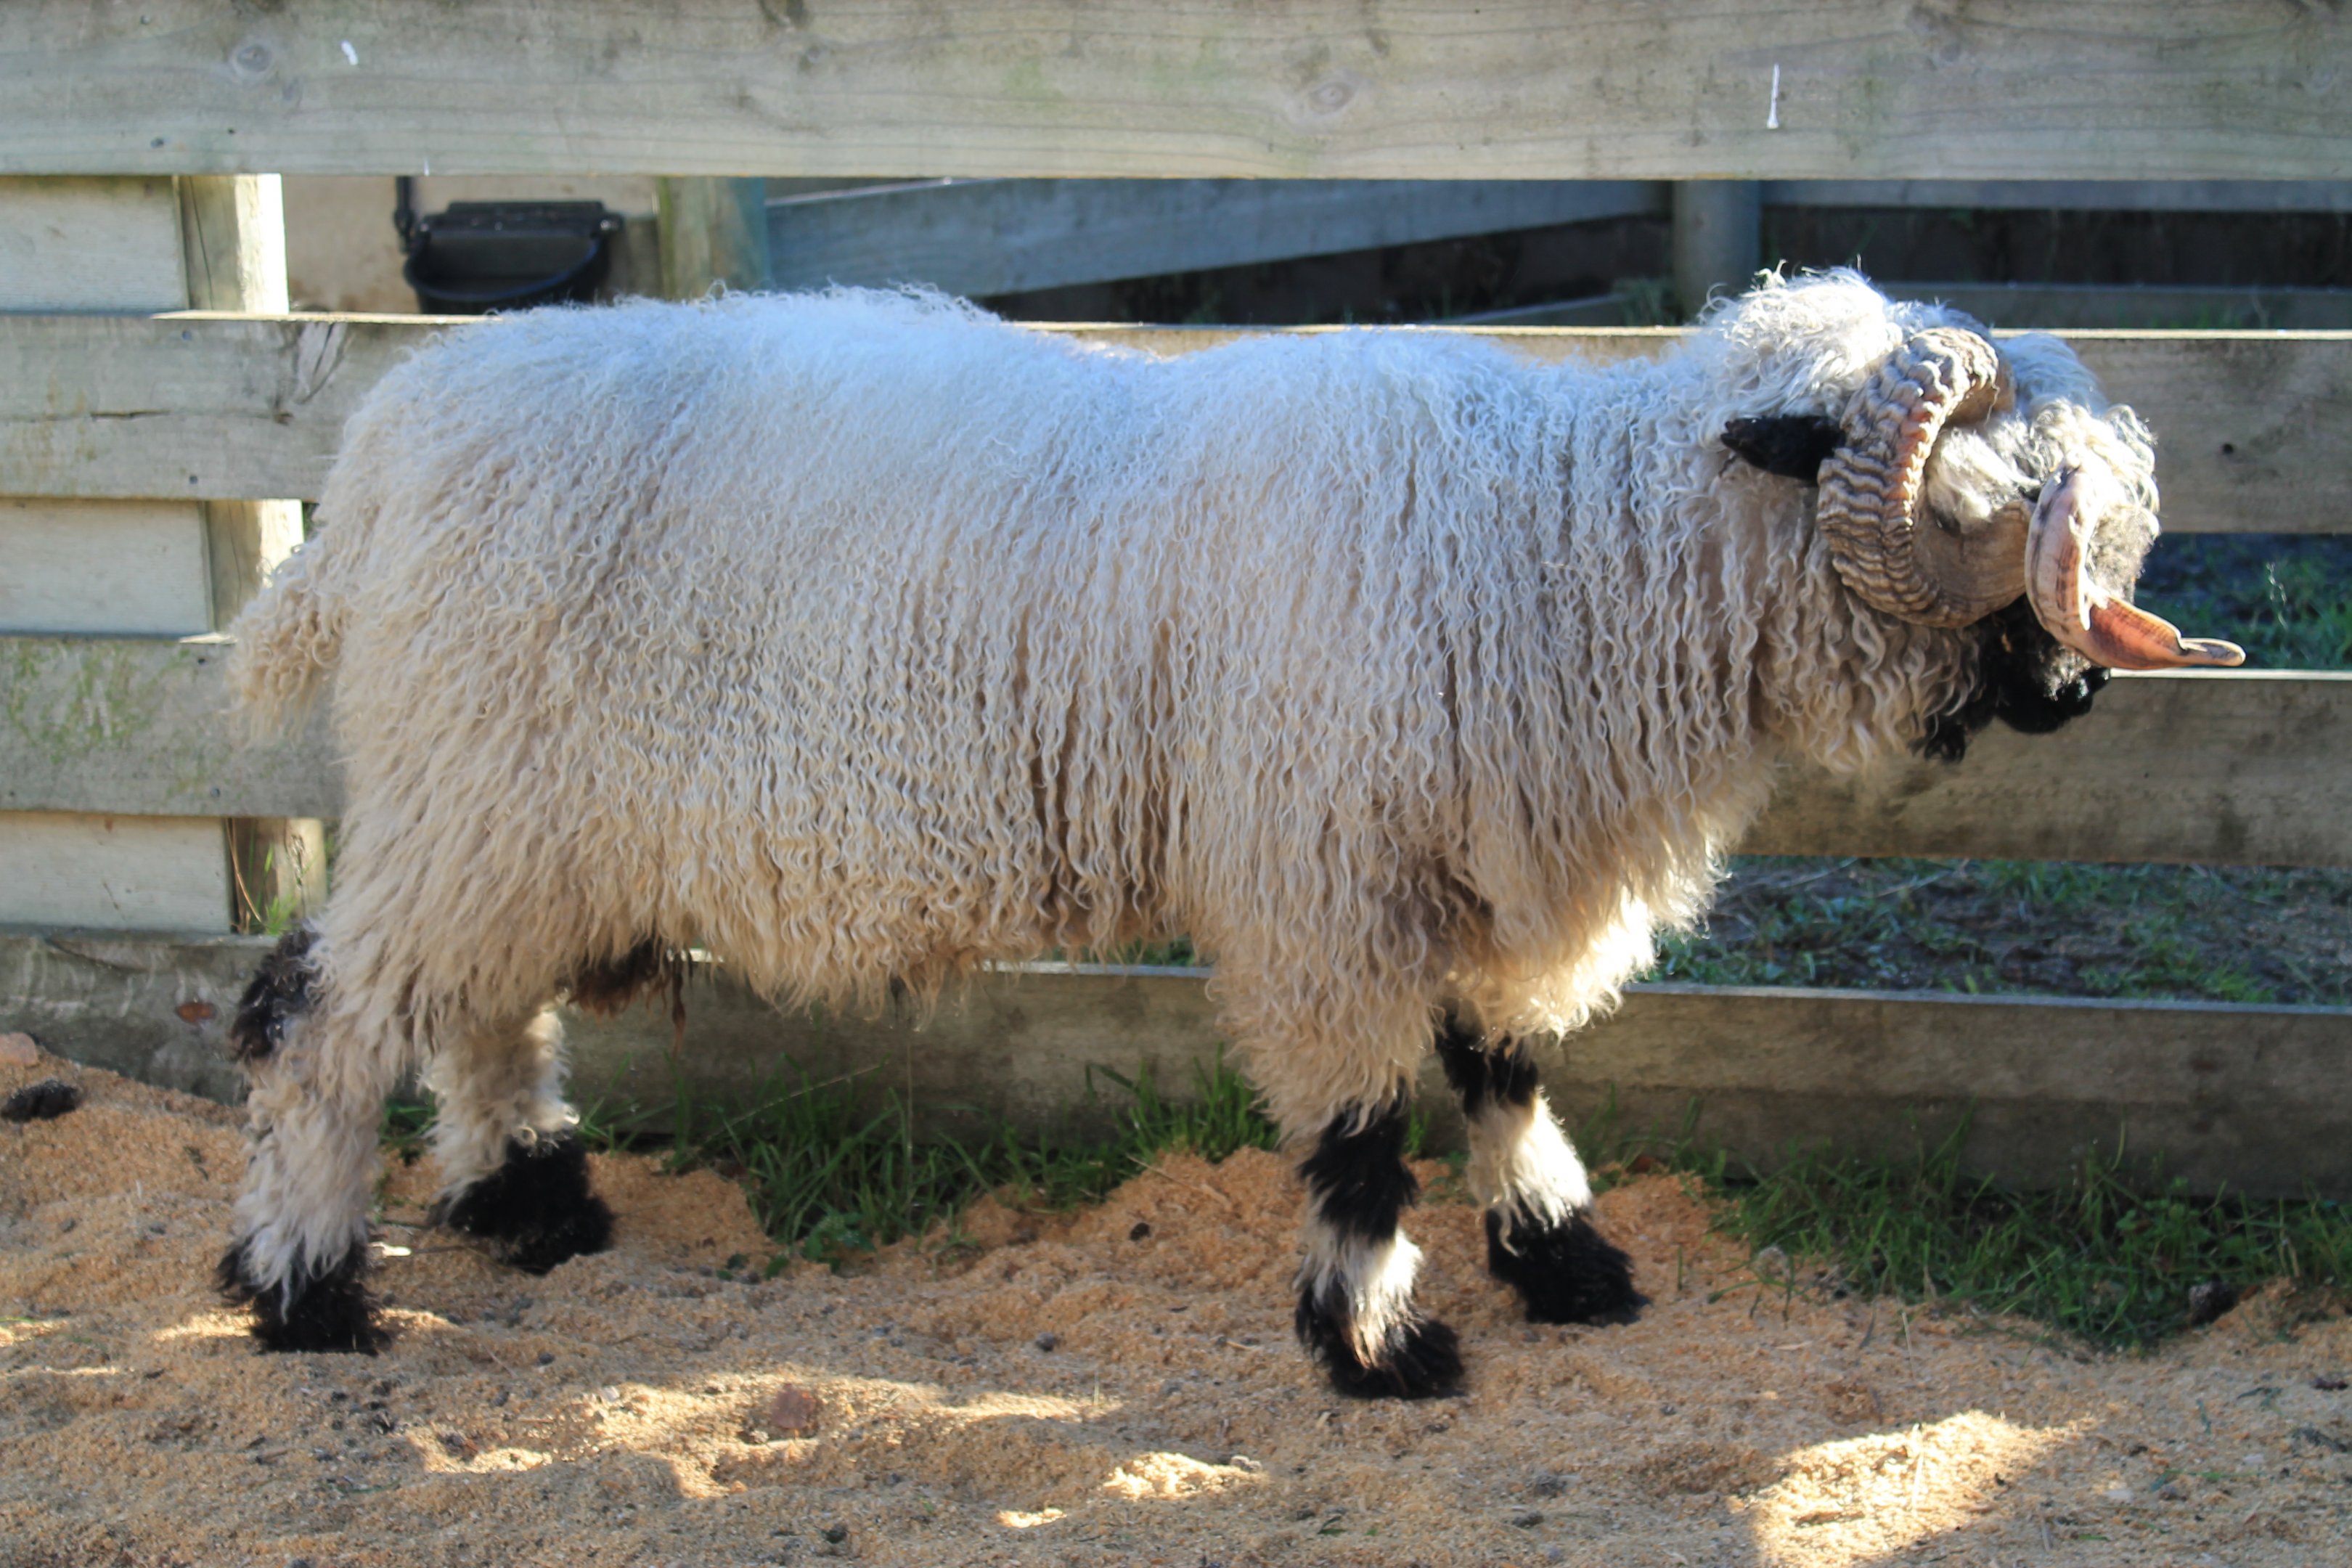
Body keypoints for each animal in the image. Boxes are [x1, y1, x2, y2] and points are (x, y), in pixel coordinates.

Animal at [217, 271, 2238, 1397]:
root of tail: (375, 465)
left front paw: (1565, 1261)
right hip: (479, 793)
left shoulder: (1464, 873)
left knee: (481, 1016)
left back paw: (531, 1207)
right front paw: (1383, 1345)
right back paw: (306, 1291)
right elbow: (1359, 1138)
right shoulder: (1320, 880)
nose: (2076, 695)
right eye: (1974, 498)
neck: (1559, 547)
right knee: (321, 1018)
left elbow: (1500, 1072)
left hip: (519, 817)